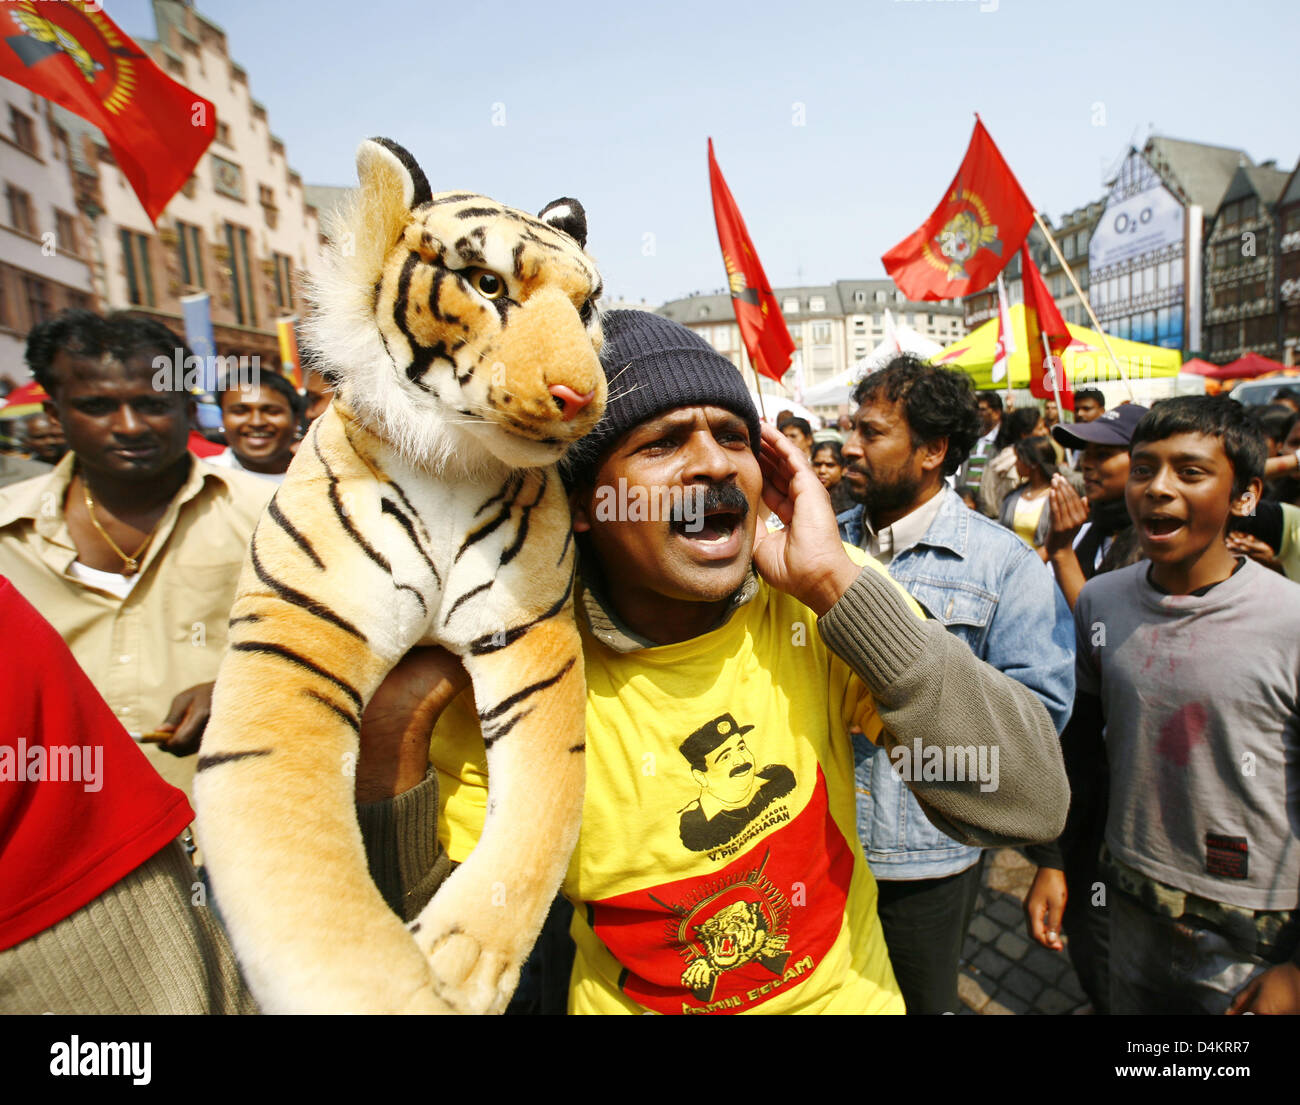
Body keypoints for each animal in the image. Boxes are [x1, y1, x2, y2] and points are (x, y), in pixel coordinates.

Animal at [194, 136, 606, 1014]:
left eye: (586, 307)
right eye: (488, 284)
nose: (579, 395)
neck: (456, 458)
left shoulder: (533, 635)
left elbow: (545, 801)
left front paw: (463, 958)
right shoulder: (297, 637)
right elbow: (304, 877)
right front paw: (389, 986)